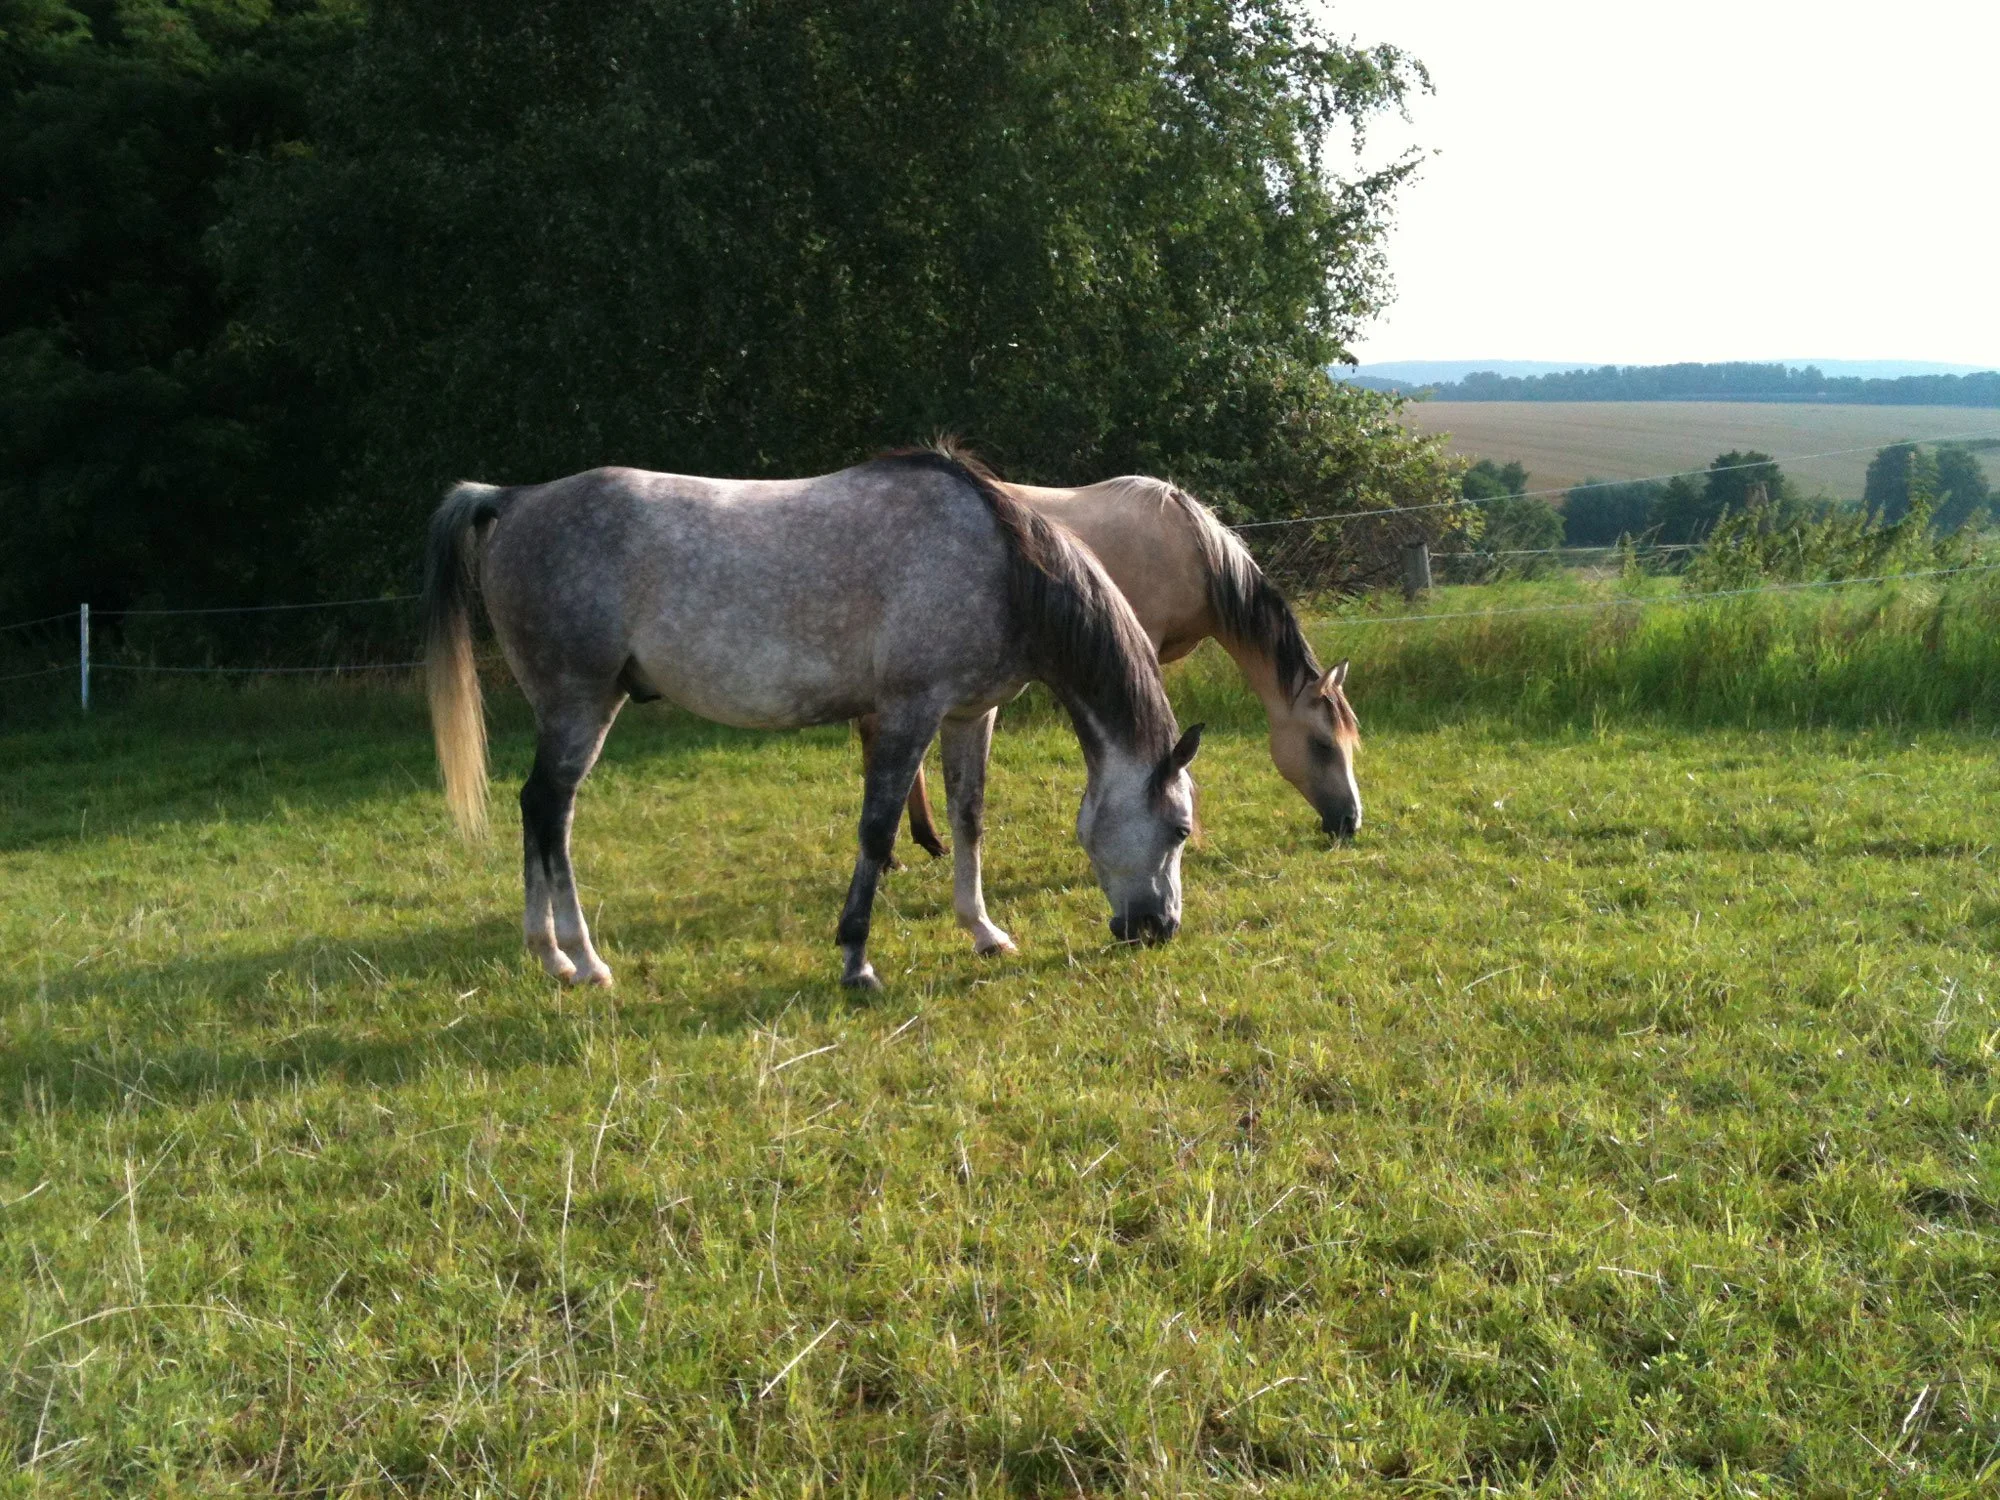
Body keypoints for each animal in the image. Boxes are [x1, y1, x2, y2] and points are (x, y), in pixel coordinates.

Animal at [422, 446, 1204, 991]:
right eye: (1179, 829)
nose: (1159, 928)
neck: (1000, 563)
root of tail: (513, 500)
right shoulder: (908, 711)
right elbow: (877, 830)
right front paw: (857, 960)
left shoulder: (968, 715)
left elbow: (968, 818)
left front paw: (982, 931)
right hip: (579, 704)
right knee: (551, 811)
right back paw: (584, 961)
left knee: (535, 808)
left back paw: (548, 955)